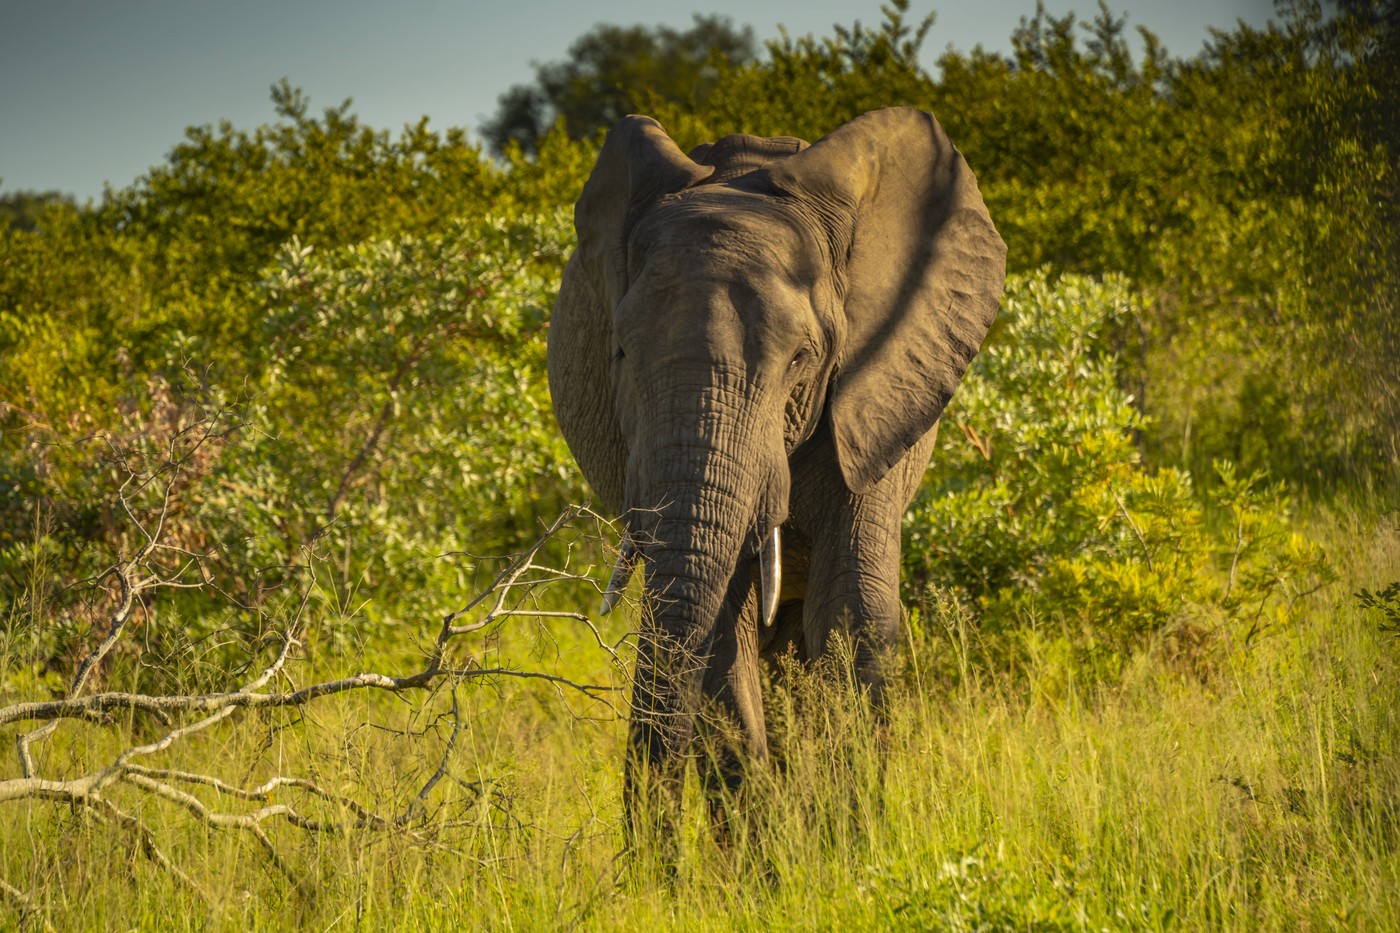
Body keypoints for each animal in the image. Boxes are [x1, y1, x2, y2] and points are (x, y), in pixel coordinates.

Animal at [546, 107, 1006, 841]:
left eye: (801, 360)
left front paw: (847, 850)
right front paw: (770, 859)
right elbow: (720, 632)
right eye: (618, 352)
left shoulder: (875, 393)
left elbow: (852, 613)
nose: (654, 862)